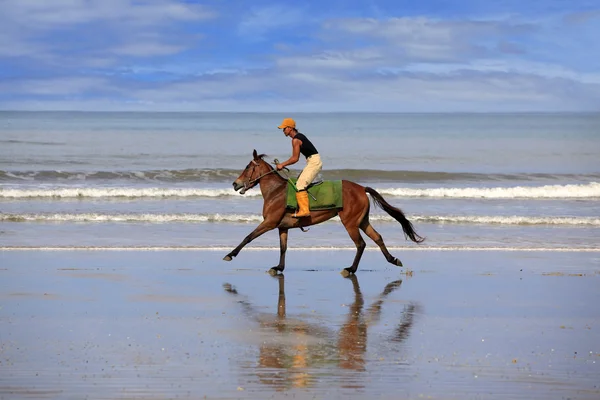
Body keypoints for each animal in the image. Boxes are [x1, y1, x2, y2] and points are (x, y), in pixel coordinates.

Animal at [223, 148, 424, 276]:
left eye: (248, 167)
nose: (235, 184)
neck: (275, 191)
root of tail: (361, 188)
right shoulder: (282, 227)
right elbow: (283, 247)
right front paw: (278, 267)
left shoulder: (269, 223)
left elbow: (248, 237)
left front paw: (230, 255)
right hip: (362, 221)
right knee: (377, 238)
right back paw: (393, 259)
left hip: (350, 222)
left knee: (361, 244)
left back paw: (350, 269)